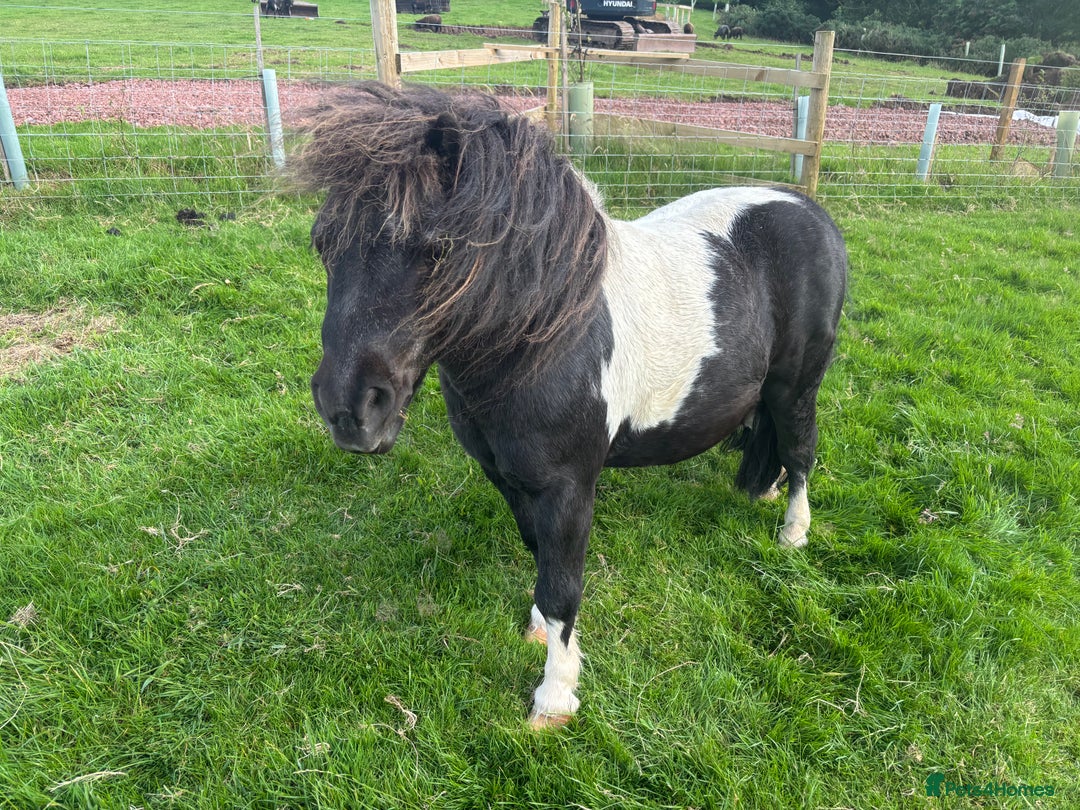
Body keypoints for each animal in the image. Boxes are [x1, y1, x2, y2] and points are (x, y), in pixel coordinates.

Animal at [297, 83, 847, 729]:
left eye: (436, 248)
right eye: (322, 243)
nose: (350, 409)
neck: (546, 336)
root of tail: (810, 211)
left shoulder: (569, 486)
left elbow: (563, 586)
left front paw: (555, 697)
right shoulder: (507, 476)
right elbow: (539, 557)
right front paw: (540, 634)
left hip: (796, 387)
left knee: (801, 450)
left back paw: (793, 532)